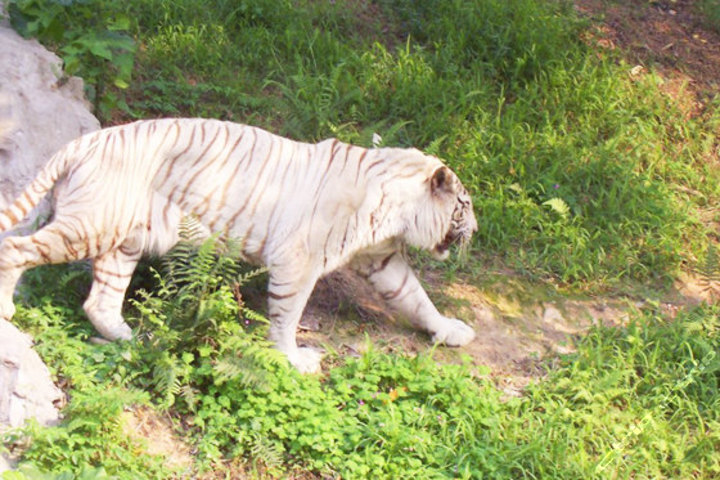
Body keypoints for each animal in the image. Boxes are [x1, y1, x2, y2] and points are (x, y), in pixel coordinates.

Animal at [0, 118, 478, 374]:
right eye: (465, 205)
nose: (476, 228)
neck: (395, 209)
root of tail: (85, 139)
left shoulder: (382, 259)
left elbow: (415, 297)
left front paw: (449, 330)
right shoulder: (298, 260)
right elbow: (287, 315)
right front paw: (292, 360)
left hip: (123, 240)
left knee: (99, 300)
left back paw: (129, 337)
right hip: (91, 225)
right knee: (16, 249)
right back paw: (7, 309)